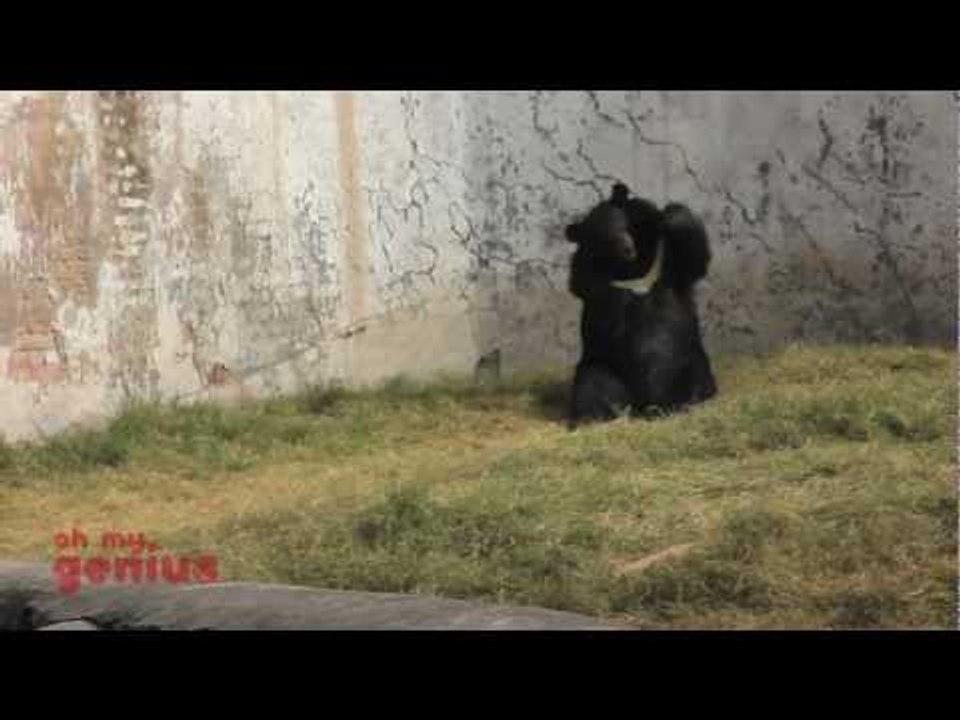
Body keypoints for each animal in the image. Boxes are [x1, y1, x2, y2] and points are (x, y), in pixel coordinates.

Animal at [565, 182, 717, 426]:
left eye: (623, 226)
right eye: (603, 239)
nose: (627, 248)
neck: (630, 269)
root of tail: (648, 404)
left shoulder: (668, 264)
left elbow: (694, 256)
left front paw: (670, 217)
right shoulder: (589, 280)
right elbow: (603, 305)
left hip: (689, 357)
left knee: (699, 378)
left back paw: (693, 401)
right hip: (604, 366)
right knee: (591, 387)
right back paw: (590, 418)